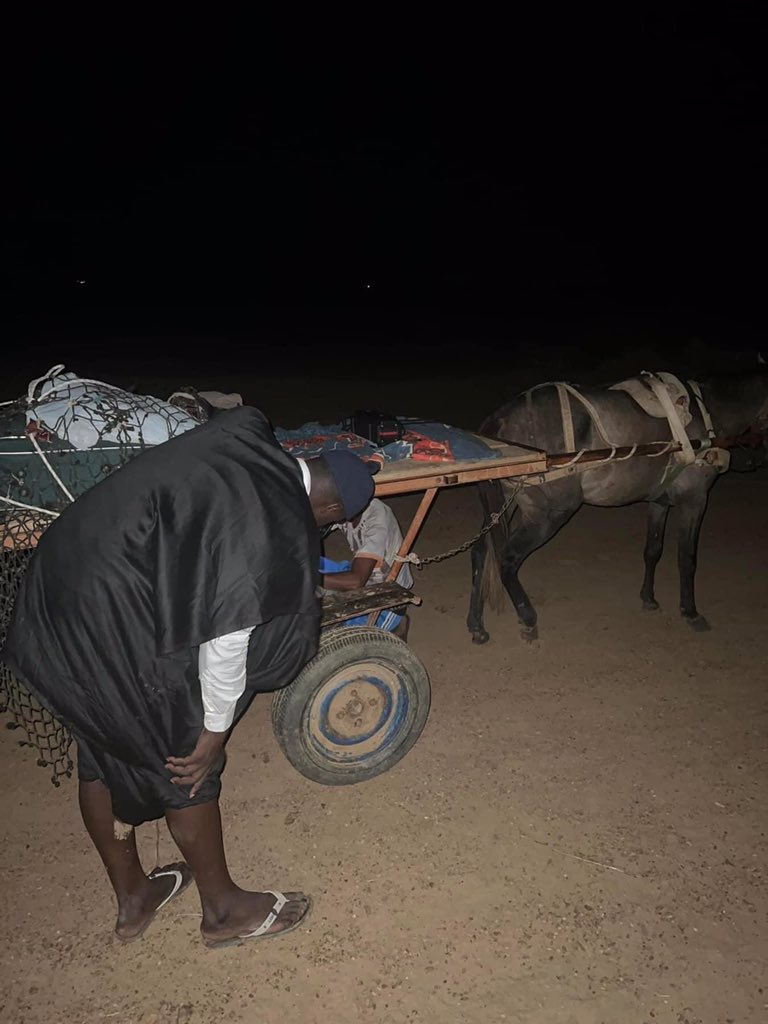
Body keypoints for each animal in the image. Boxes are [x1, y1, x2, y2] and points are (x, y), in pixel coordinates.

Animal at [466, 364, 768, 643]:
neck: (709, 414)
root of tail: (499, 420)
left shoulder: (659, 501)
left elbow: (653, 550)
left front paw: (649, 598)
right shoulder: (695, 500)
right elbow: (687, 559)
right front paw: (690, 612)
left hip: (507, 504)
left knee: (481, 552)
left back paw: (477, 626)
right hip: (548, 514)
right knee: (507, 559)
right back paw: (527, 618)